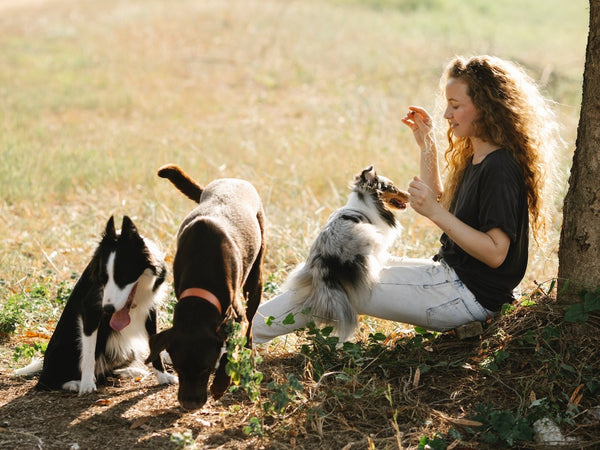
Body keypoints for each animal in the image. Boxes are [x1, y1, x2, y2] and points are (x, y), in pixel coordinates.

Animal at [14, 216, 176, 396]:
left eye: (122, 277)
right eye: (104, 278)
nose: (108, 309)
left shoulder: (150, 309)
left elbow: (155, 344)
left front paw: (162, 376)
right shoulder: (91, 310)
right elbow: (88, 353)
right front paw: (86, 385)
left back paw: (129, 371)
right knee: (47, 382)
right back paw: (73, 383)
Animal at [146, 163, 264, 410]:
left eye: (206, 370)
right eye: (178, 369)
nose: (189, 404)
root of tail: (232, 179)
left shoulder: (237, 317)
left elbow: (230, 351)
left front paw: (220, 385)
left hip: (255, 279)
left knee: (250, 326)